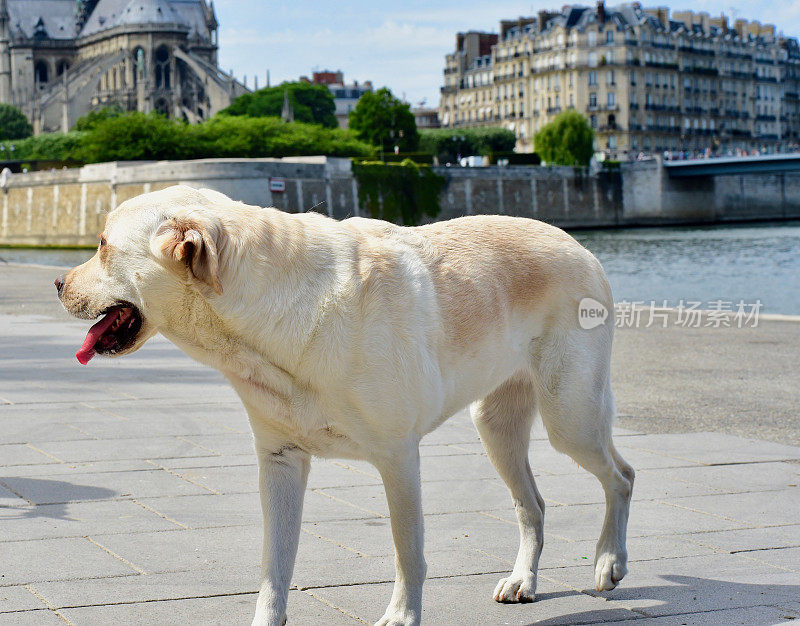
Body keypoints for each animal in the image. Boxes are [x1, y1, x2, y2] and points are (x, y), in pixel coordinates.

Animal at [54, 185, 632, 624]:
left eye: (102, 245)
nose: (57, 282)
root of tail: (577, 242)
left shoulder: (398, 458)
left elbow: (408, 551)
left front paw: (402, 617)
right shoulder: (280, 462)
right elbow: (274, 565)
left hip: (570, 417)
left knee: (621, 476)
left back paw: (609, 562)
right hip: (496, 426)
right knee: (533, 504)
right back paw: (522, 580)